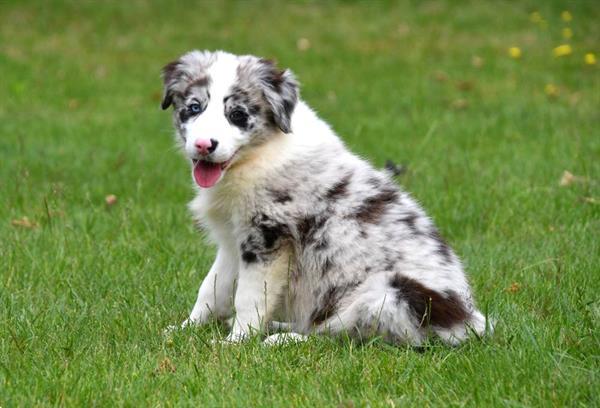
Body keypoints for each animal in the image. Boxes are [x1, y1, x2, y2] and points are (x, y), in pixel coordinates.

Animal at [161, 50, 492, 344]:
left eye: (238, 115)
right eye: (194, 107)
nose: (204, 145)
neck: (259, 155)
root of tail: (468, 322)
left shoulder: (268, 238)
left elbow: (249, 297)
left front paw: (236, 343)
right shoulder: (233, 240)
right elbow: (211, 288)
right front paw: (185, 329)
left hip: (392, 290)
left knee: (338, 332)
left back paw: (284, 337)